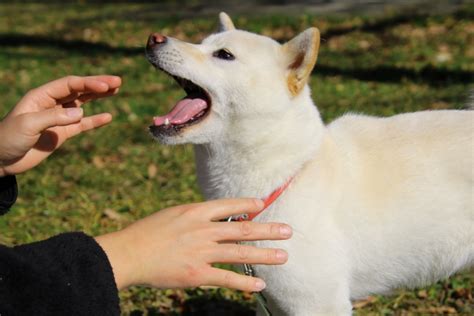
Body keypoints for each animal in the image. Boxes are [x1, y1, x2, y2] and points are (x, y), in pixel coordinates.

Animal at [146, 12, 474, 316]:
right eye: (201, 42)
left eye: (224, 55)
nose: (153, 38)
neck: (287, 175)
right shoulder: (273, 302)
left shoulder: (319, 304)